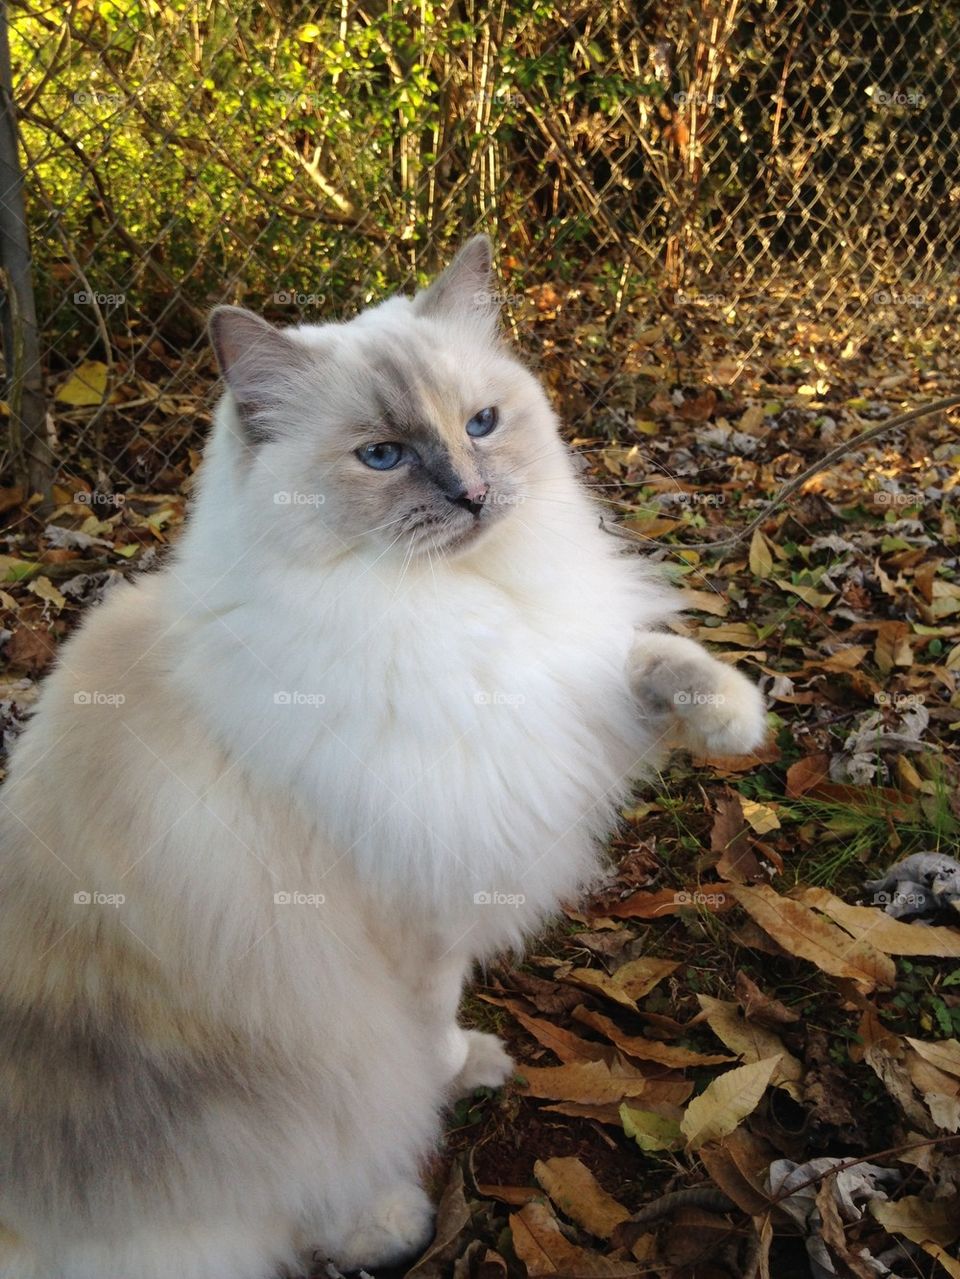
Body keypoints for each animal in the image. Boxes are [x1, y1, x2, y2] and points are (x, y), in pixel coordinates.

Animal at [0, 240, 766, 1279]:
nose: (473, 495)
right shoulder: (416, 908)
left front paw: (734, 717)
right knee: (268, 1211)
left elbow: (647, 667)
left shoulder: (548, 720)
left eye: (482, 424)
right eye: (383, 456)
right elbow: (433, 1019)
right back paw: (392, 1218)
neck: (441, 602)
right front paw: (463, 1065)